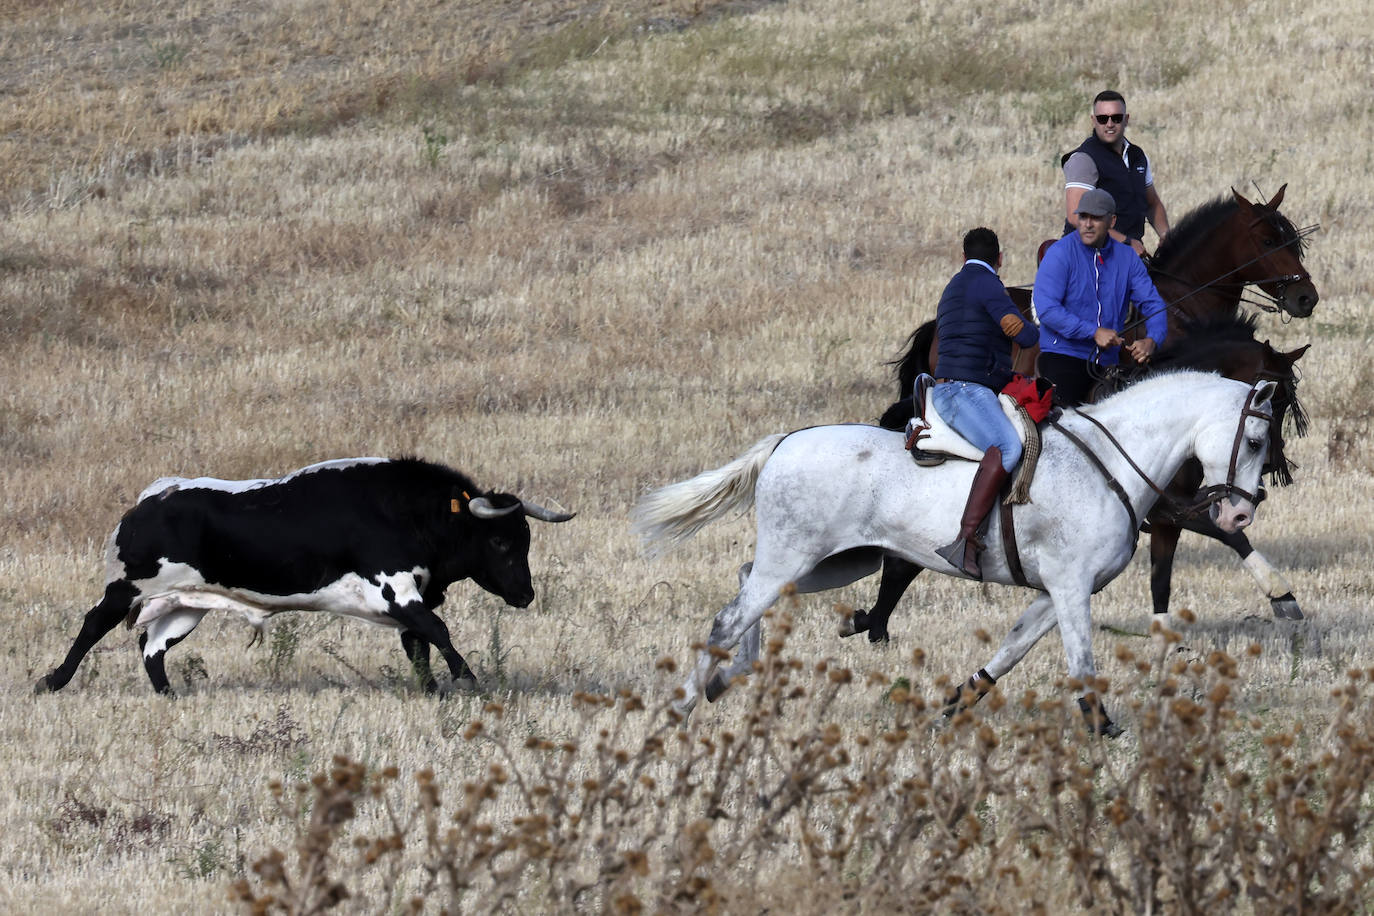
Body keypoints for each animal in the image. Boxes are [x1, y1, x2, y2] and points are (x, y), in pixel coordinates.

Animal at [34, 458, 574, 694]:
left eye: (524, 537)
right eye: (500, 541)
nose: (525, 594)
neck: (405, 510)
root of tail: (153, 496)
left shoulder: (409, 599)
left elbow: (419, 644)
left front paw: (434, 691)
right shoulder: (395, 590)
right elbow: (438, 633)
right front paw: (470, 682)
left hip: (186, 604)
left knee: (152, 648)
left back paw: (169, 695)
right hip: (126, 589)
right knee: (92, 626)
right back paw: (52, 681)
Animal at [632, 368, 1275, 736]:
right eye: (1256, 438)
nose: (1239, 515)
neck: (1108, 464)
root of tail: (785, 441)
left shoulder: (1056, 592)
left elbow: (1012, 649)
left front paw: (957, 704)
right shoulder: (1070, 587)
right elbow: (1081, 659)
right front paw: (1099, 727)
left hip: (833, 563)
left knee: (742, 585)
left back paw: (729, 675)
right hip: (794, 559)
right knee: (731, 615)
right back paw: (685, 705)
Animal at [846, 186, 1319, 645]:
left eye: (1295, 242)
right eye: (1268, 240)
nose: (1306, 297)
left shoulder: (1168, 512)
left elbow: (1164, 576)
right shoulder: (1170, 508)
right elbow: (1226, 532)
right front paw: (1281, 593)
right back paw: (877, 621)